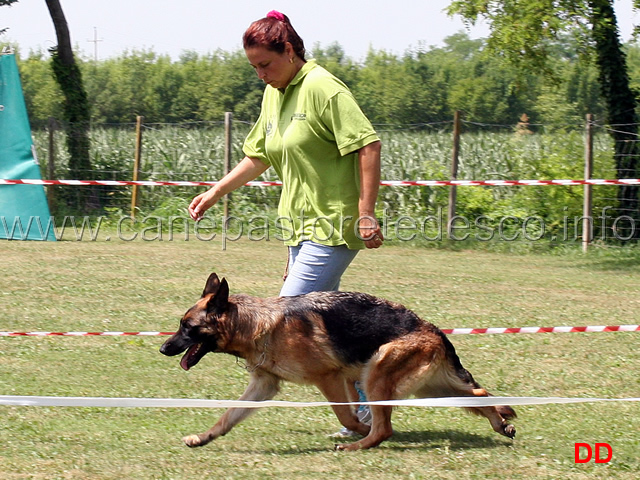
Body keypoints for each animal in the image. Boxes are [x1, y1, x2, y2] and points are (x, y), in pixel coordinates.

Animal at [160, 274, 516, 450]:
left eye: (187, 327)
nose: (163, 348)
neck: (257, 324)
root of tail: (434, 331)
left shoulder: (328, 378)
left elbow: (347, 415)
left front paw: (359, 429)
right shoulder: (263, 386)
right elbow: (227, 417)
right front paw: (203, 438)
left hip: (377, 375)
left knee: (385, 428)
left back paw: (361, 444)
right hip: (429, 388)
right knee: (480, 394)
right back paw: (500, 422)